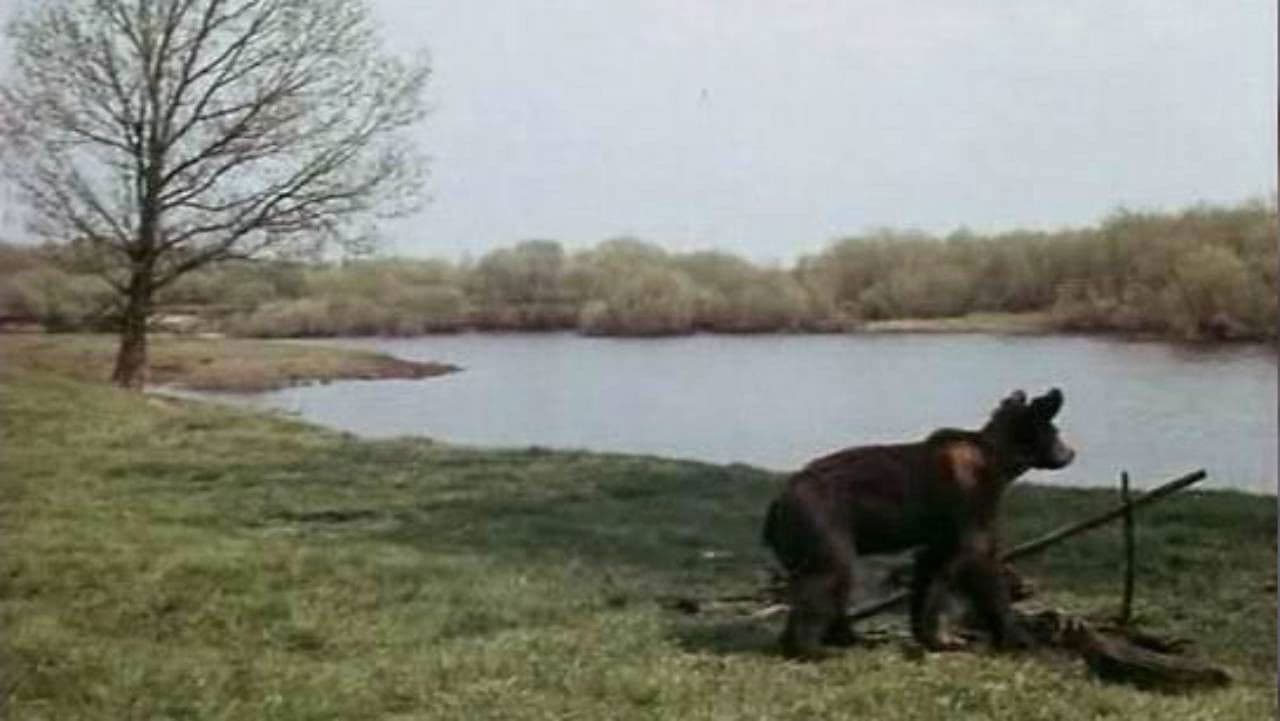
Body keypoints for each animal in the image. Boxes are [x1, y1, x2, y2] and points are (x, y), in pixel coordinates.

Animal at [762, 388, 1075, 659]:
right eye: (1056, 432)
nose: (1071, 452)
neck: (996, 457)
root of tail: (778, 502)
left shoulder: (943, 535)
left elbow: (930, 572)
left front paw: (933, 638)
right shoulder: (972, 500)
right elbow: (980, 560)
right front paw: (1017, 639)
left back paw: (841, 639)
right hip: (822, 520)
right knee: (828, 575)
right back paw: (811, 649)